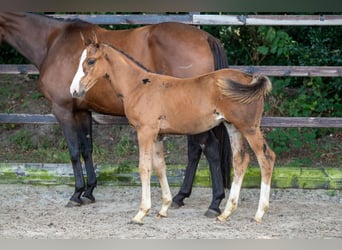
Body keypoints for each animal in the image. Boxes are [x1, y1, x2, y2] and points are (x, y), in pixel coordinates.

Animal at [0, 12, 230, 215]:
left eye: (89, 62)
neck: (53, 41)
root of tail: (206, 37)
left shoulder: (63, 110)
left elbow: (73, 152)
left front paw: (76, 194)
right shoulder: (83, 111)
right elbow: (87, 149)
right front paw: (89, 192)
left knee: (207, 148)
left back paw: (213, 202)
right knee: (197, 152)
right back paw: (181, 197)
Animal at [71, 41, 276, 225]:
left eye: (90, 61)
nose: (74, 91)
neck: (138, 86)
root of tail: (250, 79)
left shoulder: (145, 132)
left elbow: (144, 168)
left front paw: (141, 213)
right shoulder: (158, 135)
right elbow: (160, 167)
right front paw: (164, 208)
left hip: (249, 127)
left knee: (266, 158)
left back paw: (258, 213)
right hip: (232, 126)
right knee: (240, 160)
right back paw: (225, 213)